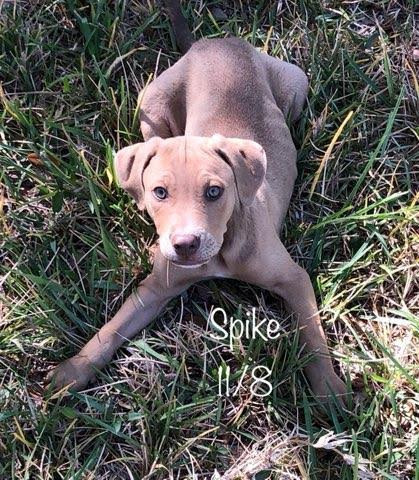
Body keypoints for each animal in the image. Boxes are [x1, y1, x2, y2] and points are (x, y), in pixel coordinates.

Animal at [46, 28, 348, 402]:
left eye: (215, 192)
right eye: (159, 192)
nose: (185, 244)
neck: (222, 248)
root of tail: (214, 41)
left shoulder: (293, 278)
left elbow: (313, 334)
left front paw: (330, 390)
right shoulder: (156, 288)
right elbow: (113, 327)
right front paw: (74, 370)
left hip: (295, 85)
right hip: (150, 104)